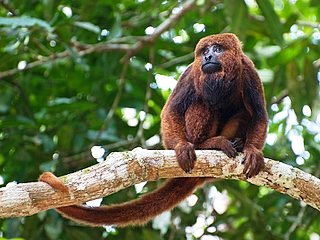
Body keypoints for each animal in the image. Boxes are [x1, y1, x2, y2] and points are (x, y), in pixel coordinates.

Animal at [39, 33, 268, 227]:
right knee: (202, 103)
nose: (208, 56)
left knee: (244, 111)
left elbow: (259, 115)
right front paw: (182, 147)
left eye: (217, 49)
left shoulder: (249, 70)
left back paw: (235, 143)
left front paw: (252, 151)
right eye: (204, 51)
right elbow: (171, 111)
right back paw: (207, 144)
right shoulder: (191, 72)